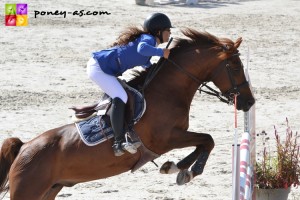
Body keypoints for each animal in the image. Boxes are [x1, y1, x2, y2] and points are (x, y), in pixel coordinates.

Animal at [0, 28, 254, 200]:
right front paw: (186, 169)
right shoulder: (167, 138)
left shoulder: (175, 137)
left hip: (50, 189)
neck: (167, 92)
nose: (249, 101)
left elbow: (203, 142)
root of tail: (23, 148)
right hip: (28, 190)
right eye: (235, 67)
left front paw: (176, 167)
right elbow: (207, 140)